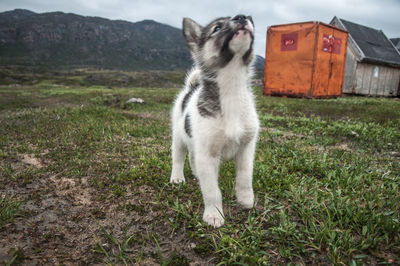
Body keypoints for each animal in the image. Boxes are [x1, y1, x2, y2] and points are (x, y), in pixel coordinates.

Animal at [170, 14, 260, 227]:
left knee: (193, 158)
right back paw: (177, 177)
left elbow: (245, 177)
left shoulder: (246, 147)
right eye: (217, 28)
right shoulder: (208, 154)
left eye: (249, 19)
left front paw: (246, 199)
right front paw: (213, 214)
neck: (231, 89)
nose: (243, 17)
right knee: (178, 158)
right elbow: (212, 190)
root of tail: (191, 88)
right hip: (179, 137)